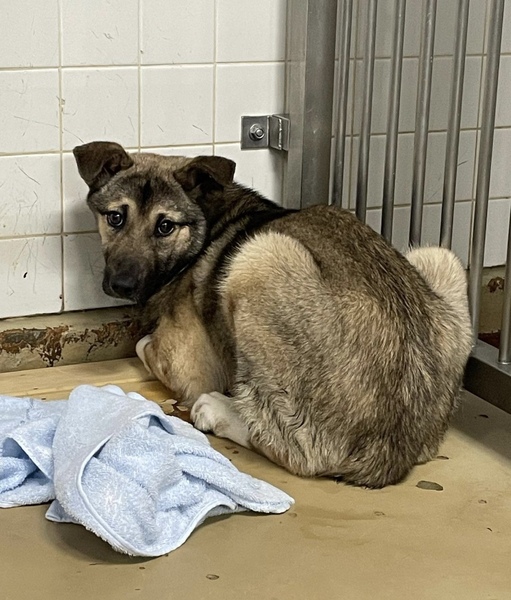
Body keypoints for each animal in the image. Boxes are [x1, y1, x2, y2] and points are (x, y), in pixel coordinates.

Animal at [73, 141, 473, 488]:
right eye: (115, 218)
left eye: (165, 226)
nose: (122, 285)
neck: (206, 225)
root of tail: (391, 453)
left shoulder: (189, 365)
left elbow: (143, 345)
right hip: (440, 259)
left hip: (257, 258)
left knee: (294, 449)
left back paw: (217, 411)